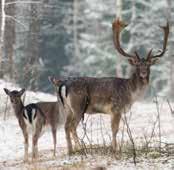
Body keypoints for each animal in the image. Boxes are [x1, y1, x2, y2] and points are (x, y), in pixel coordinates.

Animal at [48, 18, 169, 155]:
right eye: (137, 65)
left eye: (148, 65)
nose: (143, 73)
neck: (131, 93)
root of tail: (62, 84)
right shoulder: (116, 108)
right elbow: (115, 129)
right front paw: (115, 149)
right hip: (78, 105)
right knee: (72, 126)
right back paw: (80, 149)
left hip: (66, 108)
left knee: (66, 126)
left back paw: (71, 150)